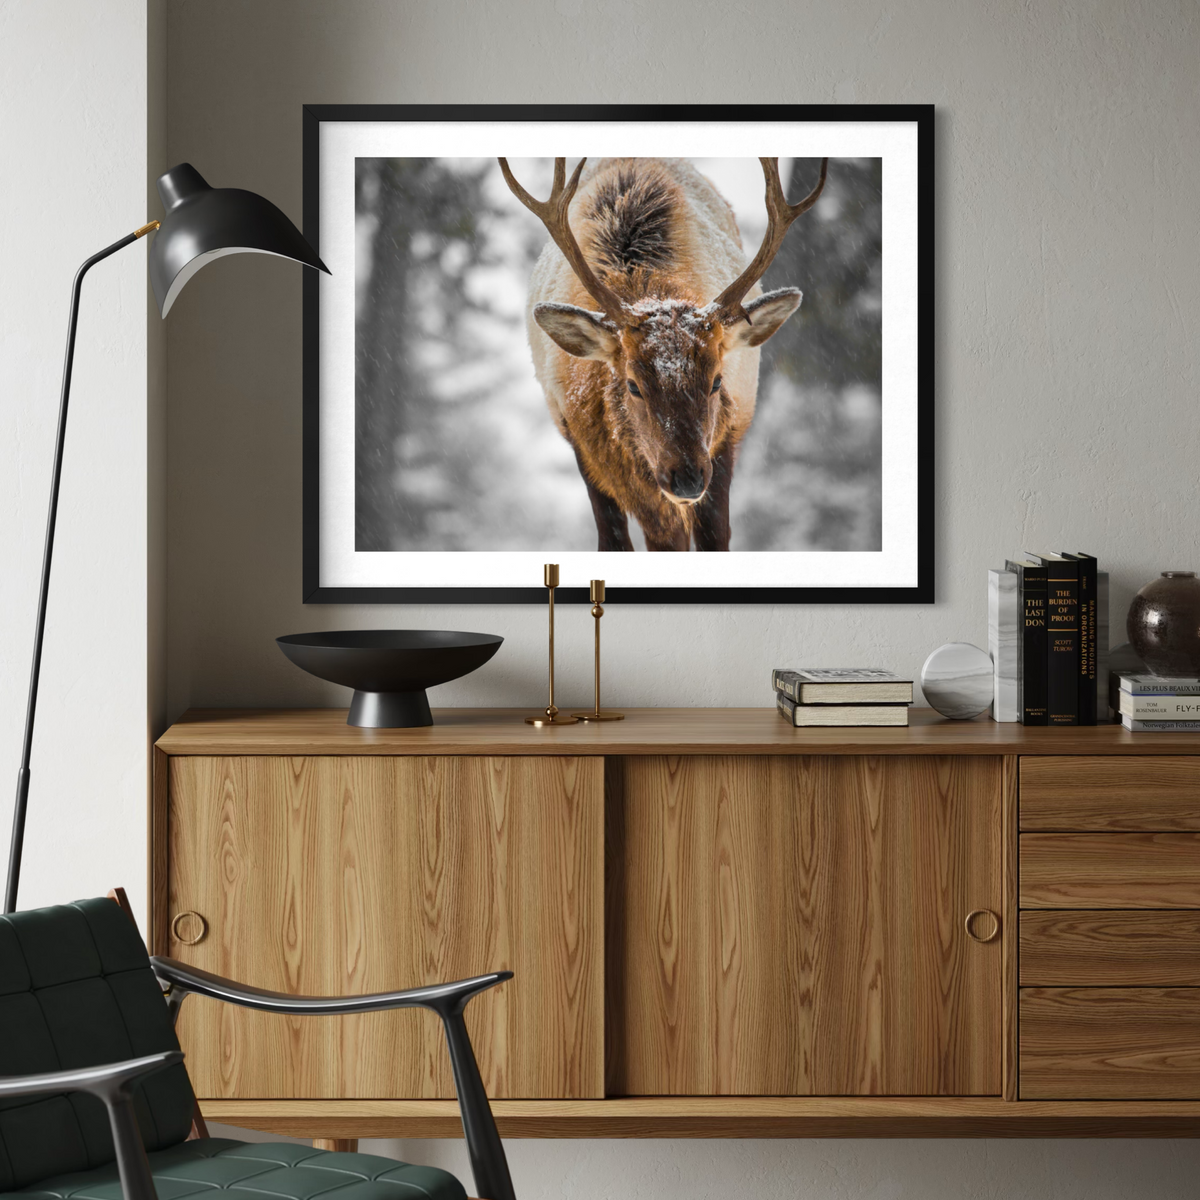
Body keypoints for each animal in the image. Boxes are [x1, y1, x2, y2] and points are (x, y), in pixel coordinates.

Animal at [499, 156, 827, 551]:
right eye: (633, 385)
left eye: (717, 381)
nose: (686, 479)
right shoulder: (585, 448)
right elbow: (616, 541)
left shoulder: (723, 443)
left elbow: (714, 538)